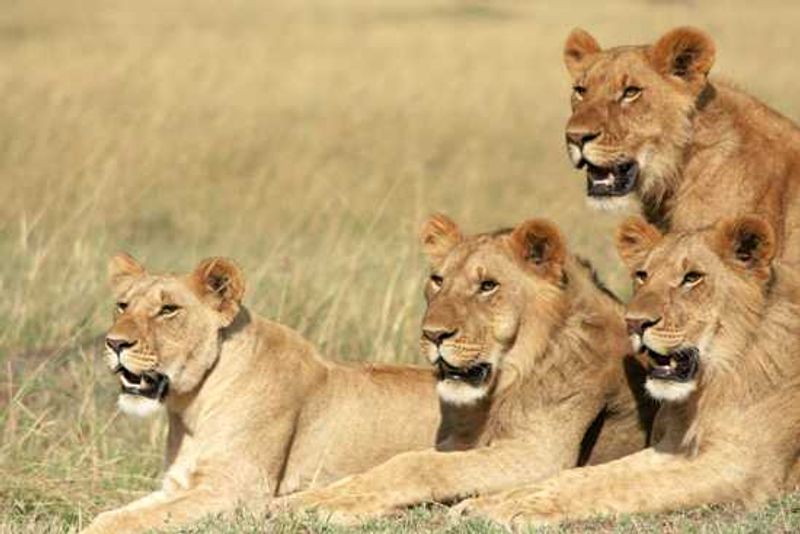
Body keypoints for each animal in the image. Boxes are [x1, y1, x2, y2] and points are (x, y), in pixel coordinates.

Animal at [82, 254, 442, 533]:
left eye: (168, 309)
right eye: (122, 306)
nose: (114, 343)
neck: (192, 408)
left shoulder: (235, 491)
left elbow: (123, 521)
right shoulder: (178, 485)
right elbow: (114, 514)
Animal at [271, 214, 656, 523]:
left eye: (488, 286)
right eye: (438, 280)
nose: (433, 334)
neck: (506, 383)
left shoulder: (538, 456)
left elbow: (415, 464)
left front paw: (325, 505)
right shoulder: (459, 440)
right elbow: (393, 463)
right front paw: (310, 497)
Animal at [458, 215, 800, 529]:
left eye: (692, 278)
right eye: (642, 275)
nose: (634, 322)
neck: (711, 382)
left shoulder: (741, 469)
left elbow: (624, 486)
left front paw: (515, 509)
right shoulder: (671, 448)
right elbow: (584, 475)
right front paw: (490, 501)